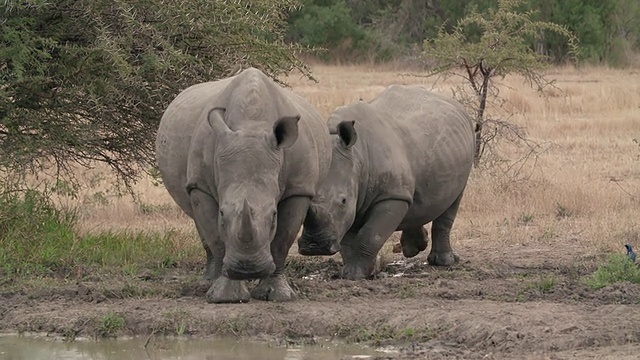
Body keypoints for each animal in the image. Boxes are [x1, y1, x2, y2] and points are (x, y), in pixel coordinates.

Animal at [155, 67, 330, 300]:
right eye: (222, 214)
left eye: (273, 215)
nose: (248, 269)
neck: (252, 124)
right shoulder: (200, 185)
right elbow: (217, 238)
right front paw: (225, 297)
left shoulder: (299, 188)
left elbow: (282, 241)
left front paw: (277, 295)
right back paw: (205, 284)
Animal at [298, 85, 476, 282]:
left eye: (343, 201)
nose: (314, 247)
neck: (357, 156)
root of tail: (456, 106)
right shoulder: (356, 197)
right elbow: (347, 239)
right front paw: (354, 273)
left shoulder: (391, 196)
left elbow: (371, 235)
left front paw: (356, 274)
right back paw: (413, 248)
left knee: (453, 200)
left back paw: (443, 262)